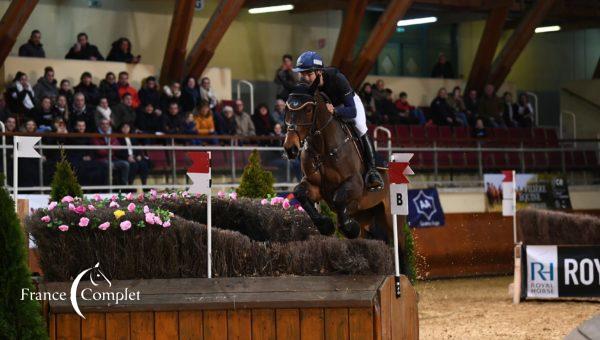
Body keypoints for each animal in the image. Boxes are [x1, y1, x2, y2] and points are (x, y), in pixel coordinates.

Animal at [282, 82, 408, 274]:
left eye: (309, 109)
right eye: (287, 109)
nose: (291, 148)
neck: (323, 147)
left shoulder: (354, 184)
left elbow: (339, 198)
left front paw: (348, 228)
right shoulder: (315, 187)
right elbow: (299, 192)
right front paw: (326, 225)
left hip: (391, 216)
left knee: (399, 245)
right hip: (365, 213)